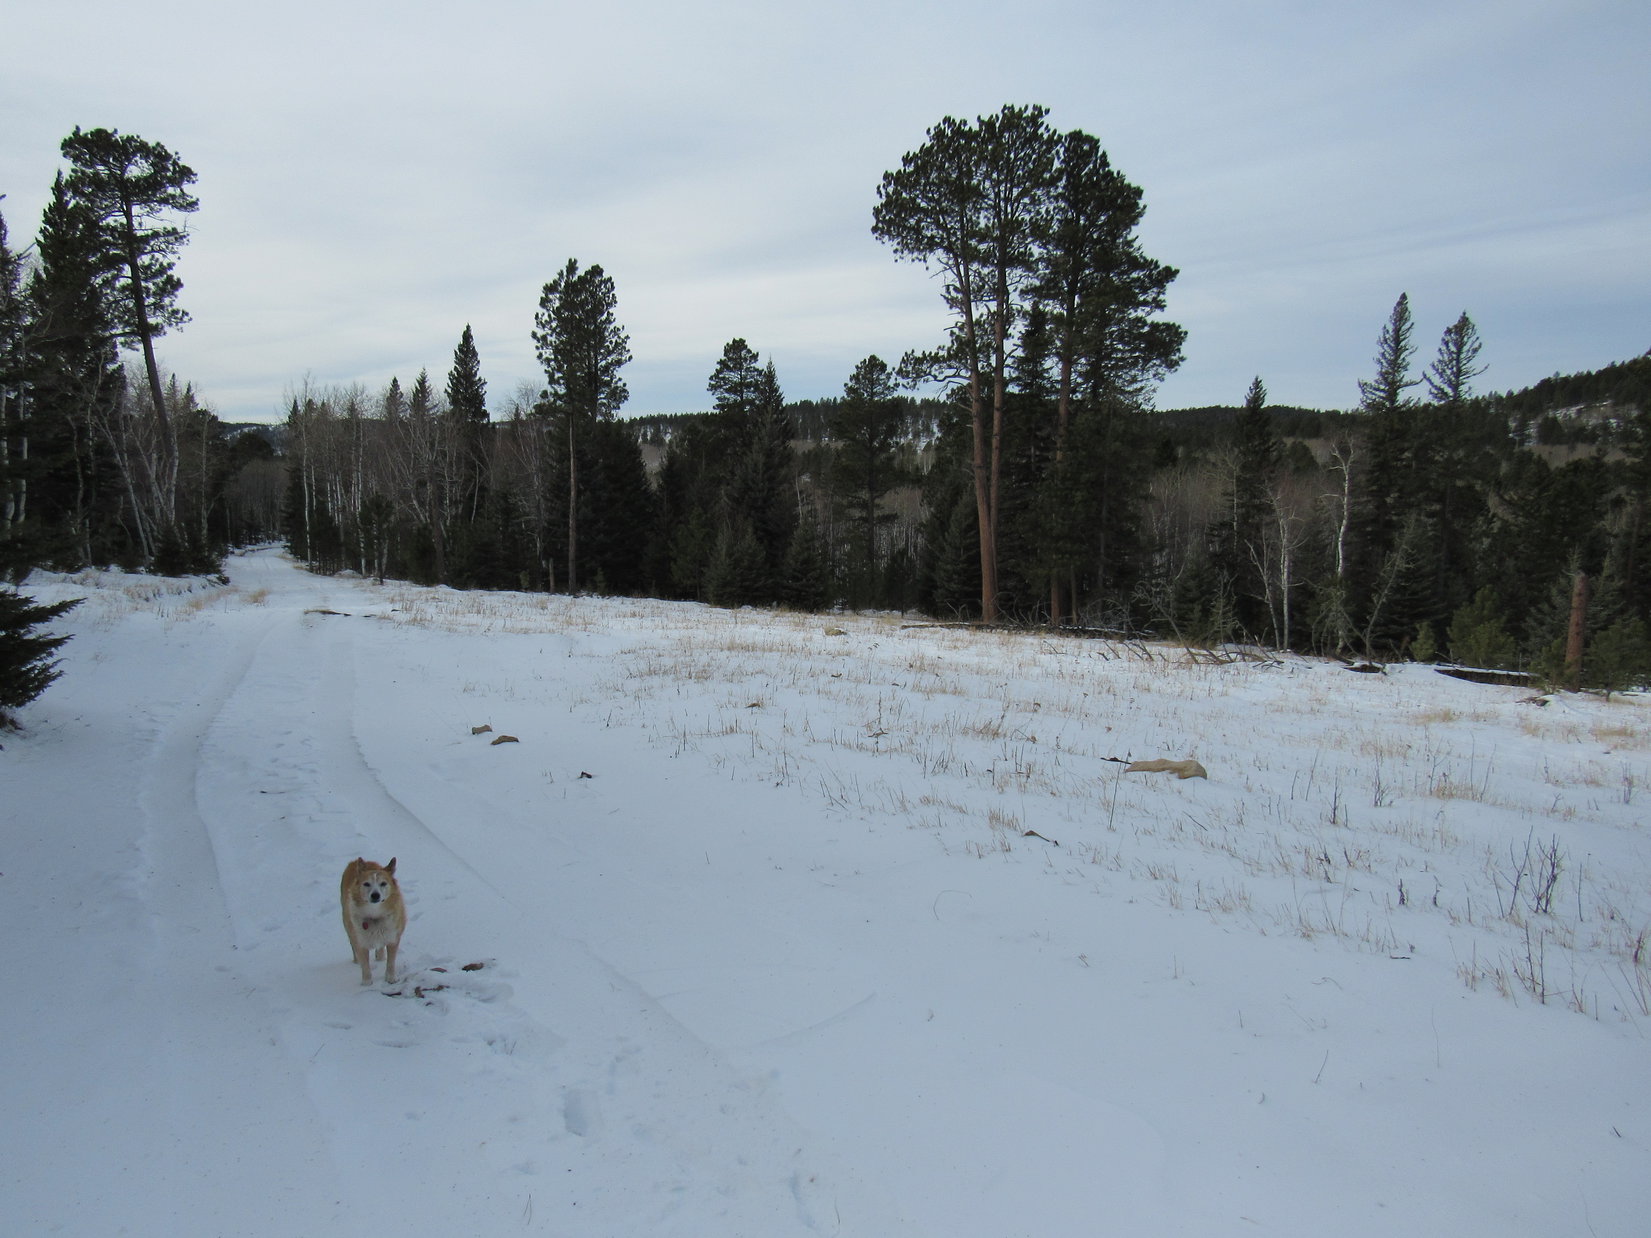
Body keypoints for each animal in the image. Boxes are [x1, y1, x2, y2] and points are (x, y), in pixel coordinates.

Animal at [340, 857, 406, 985]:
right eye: (366, 884)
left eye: (383, 883)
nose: (375, 895)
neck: (375, 914)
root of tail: (355, 861)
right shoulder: (359, 941)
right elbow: (365, 964)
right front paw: (367, 983)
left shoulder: (393, 937)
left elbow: (391, 962)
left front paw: (390, 978)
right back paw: (357, 961)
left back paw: (380, 956)